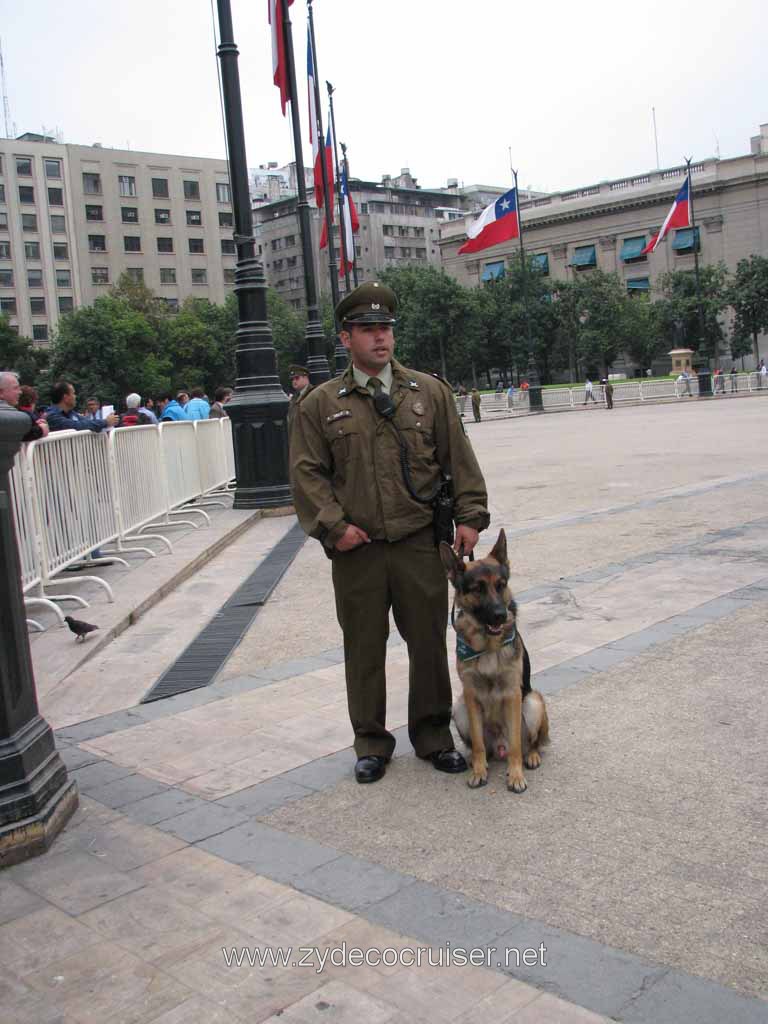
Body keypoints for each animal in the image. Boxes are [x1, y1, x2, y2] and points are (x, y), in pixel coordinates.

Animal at [438, 528, 548, 790]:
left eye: (501, 585)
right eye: (477, 589)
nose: (500, 615)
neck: (487, 646)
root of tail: (499, 746)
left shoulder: (512, 693)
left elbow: (517, 746)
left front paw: (516, 776)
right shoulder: (470, 695)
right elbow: (478, 743)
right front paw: (479, 771)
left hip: (533, 701)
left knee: (529, 743)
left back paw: (531, 756)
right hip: (459, 708)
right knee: (483, 747)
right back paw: (479, 761)